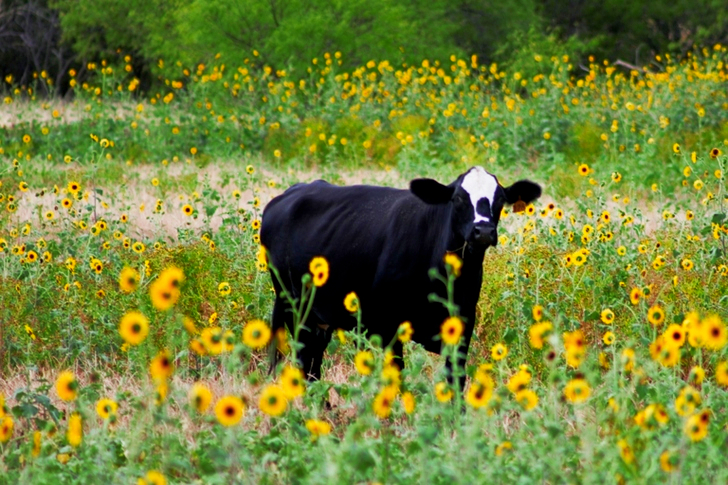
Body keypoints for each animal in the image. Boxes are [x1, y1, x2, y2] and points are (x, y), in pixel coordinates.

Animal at [260, 166, 541, 391]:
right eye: (459, 198)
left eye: (500, 199)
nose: (483, 231)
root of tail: (289, 194)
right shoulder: (388, 326)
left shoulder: (463, 323)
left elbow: (456, 381)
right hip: (296, 310)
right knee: (303, 363)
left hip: (320, 318)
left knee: (313, 366)